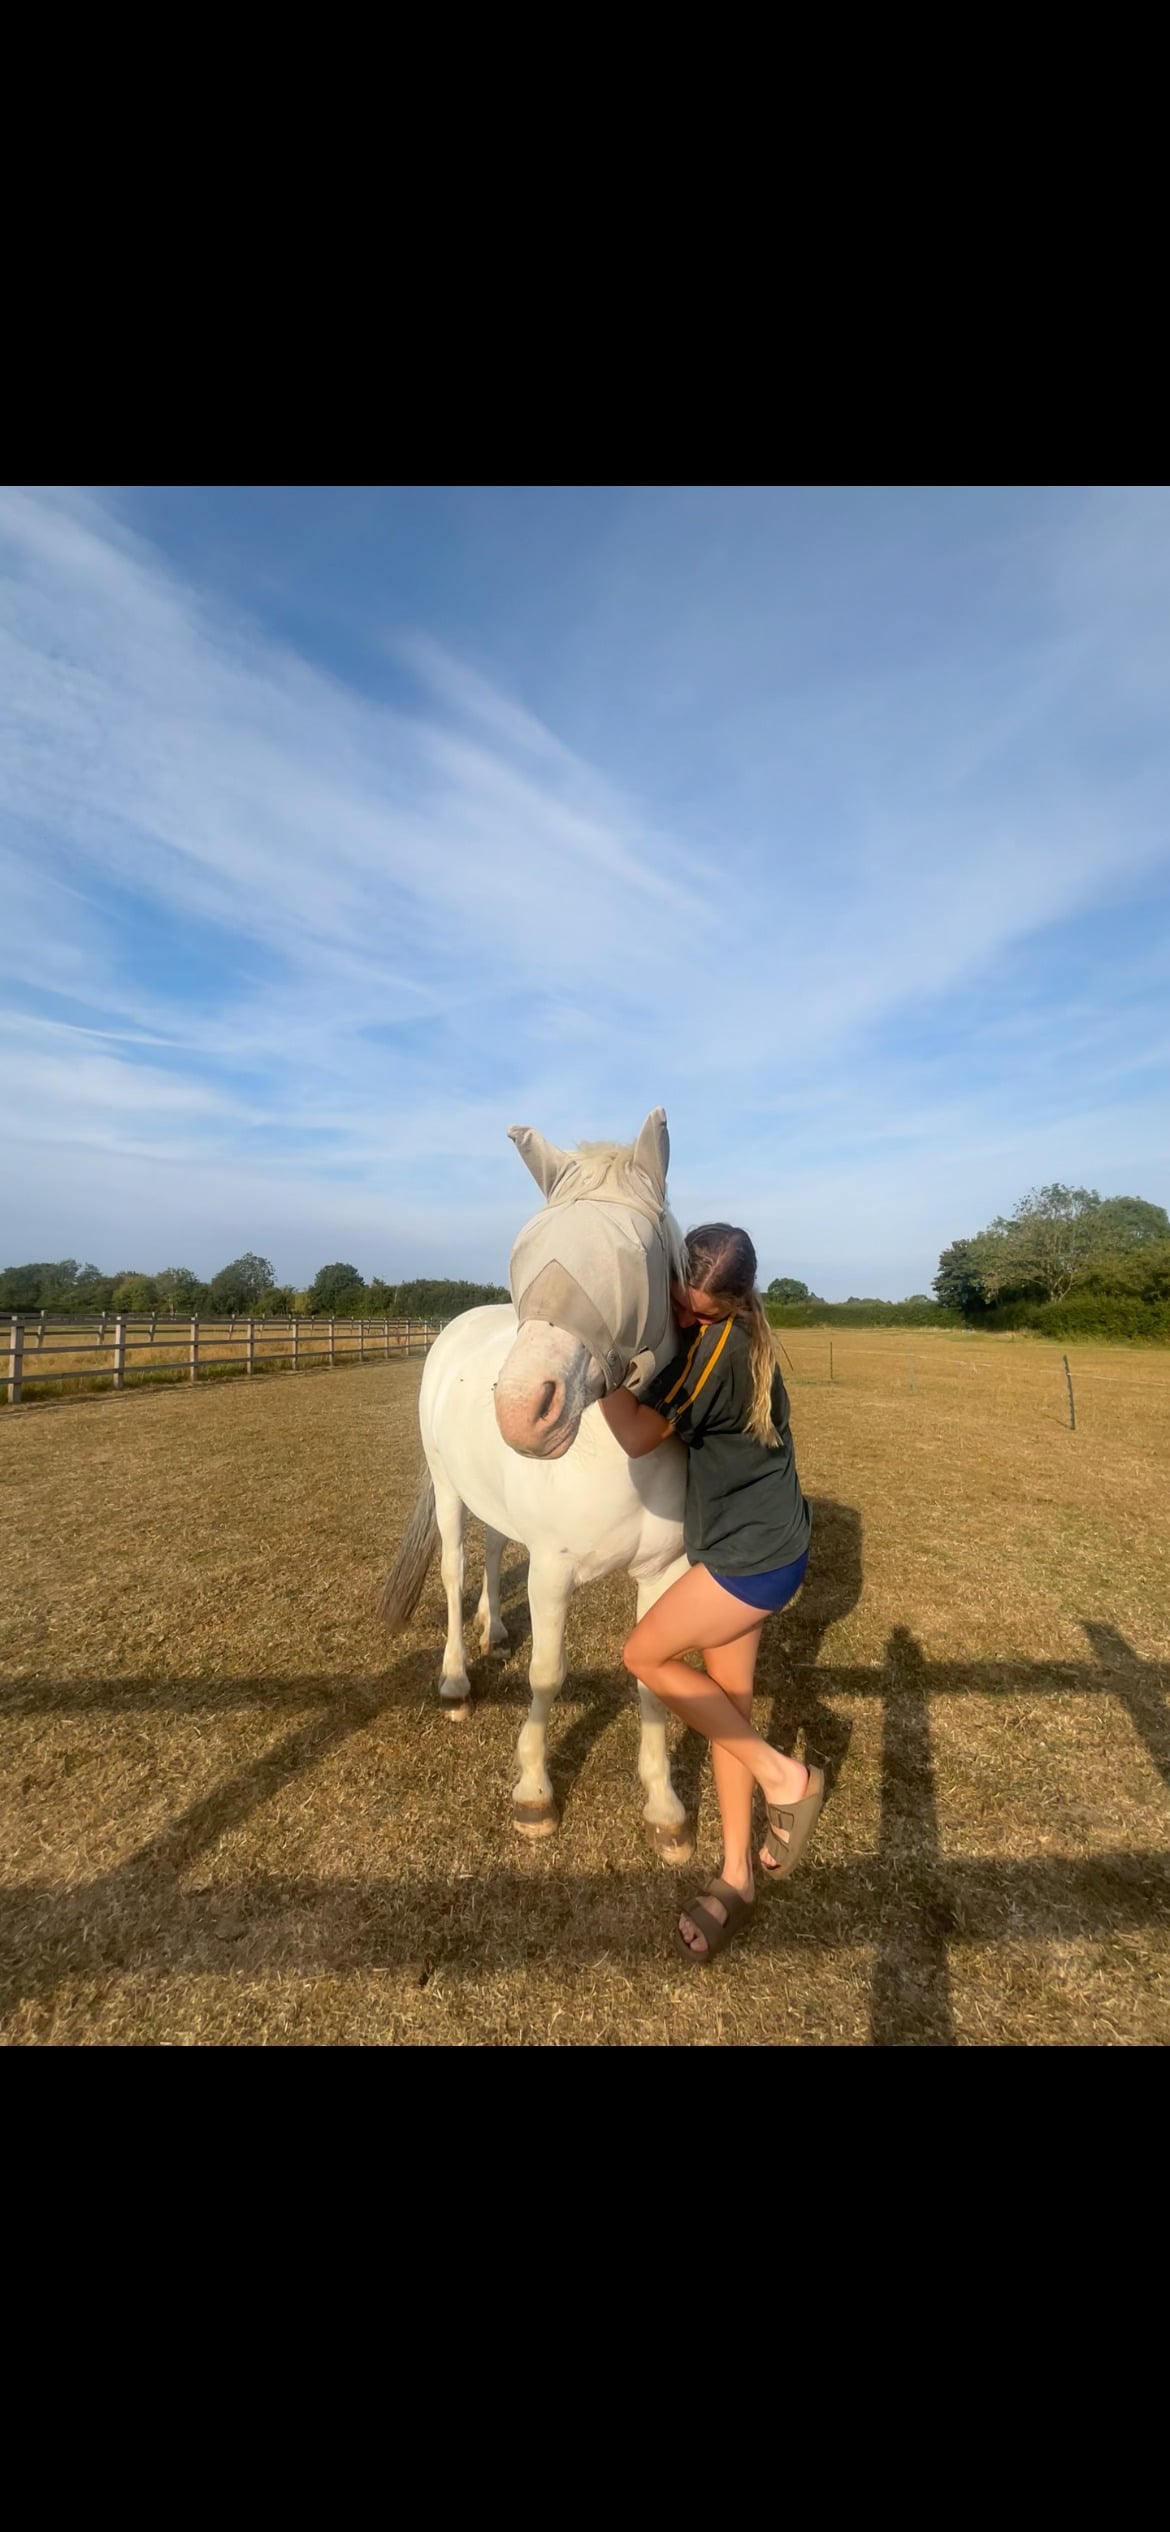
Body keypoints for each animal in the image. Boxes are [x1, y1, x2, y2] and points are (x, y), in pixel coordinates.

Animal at [378, 1108, 695, 1861]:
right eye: (525, 1253)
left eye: (634, 1255)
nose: (523, 1408)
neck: (619, 1459)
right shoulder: (552, 1573)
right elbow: (547, 1677)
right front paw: (534, 1793)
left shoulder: (663, 1572)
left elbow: (652, 1680)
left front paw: (665, 1807)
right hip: (449, 1494)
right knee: (456, 1567)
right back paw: (457, 1678)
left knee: (495, 1553)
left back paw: (494, 1629)